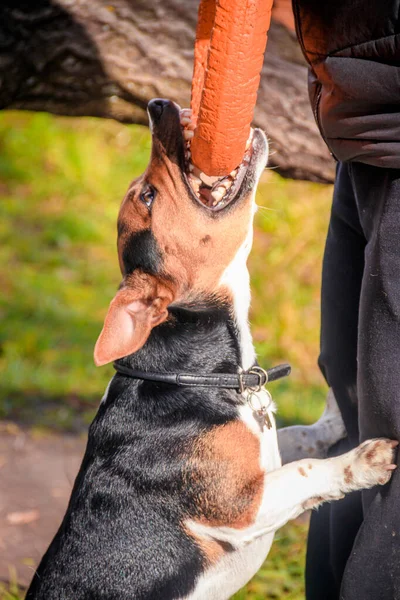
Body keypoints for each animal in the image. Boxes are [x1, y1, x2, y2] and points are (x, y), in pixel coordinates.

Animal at [26, 101, 398, 596]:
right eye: (148, 196)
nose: (157, 106)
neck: (203, 372)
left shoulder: (262, 455)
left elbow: (300, 437)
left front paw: (335, 414)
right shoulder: (245, 502)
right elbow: (308, 470)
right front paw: (365, 460)